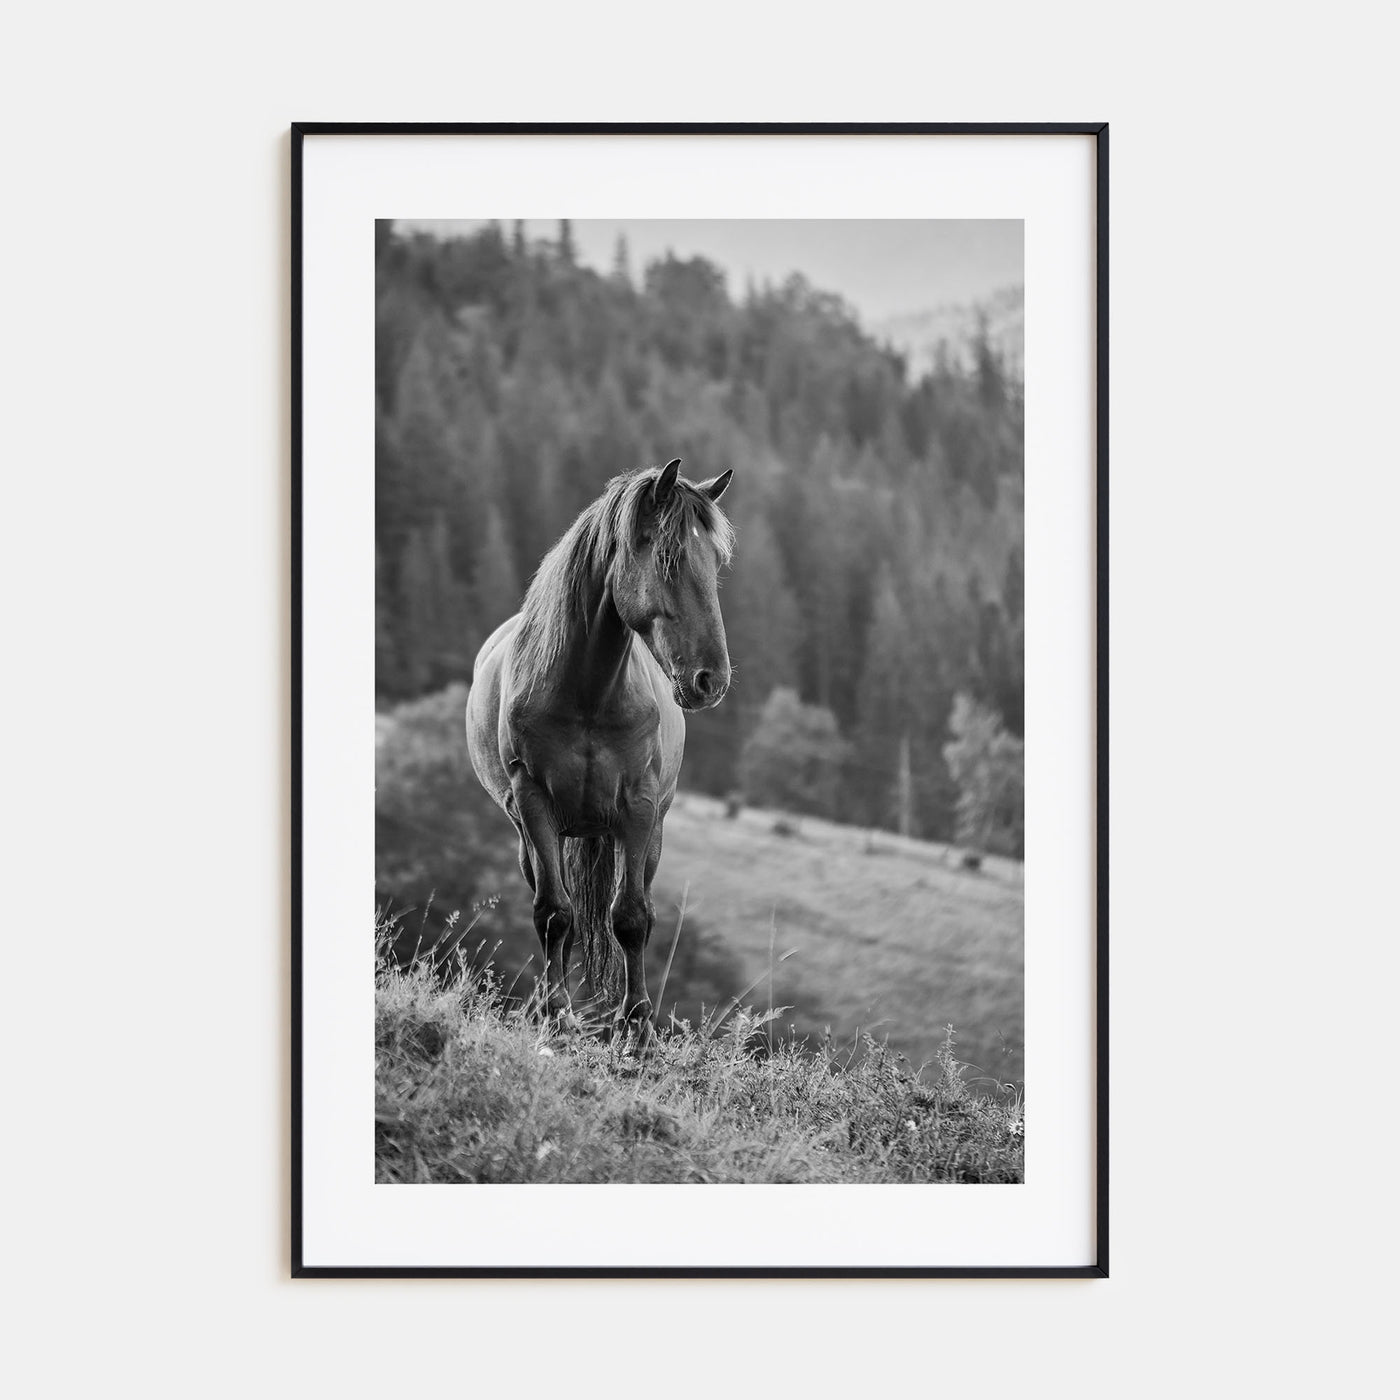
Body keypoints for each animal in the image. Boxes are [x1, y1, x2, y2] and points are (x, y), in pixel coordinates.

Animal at [464, 459, 735, 1051]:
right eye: (669, 559)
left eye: (716, 563)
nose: (711, 680)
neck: (586, 692)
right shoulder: (534, 802)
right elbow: (554, 914)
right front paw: (556, 1014)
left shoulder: (638, 808)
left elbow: (631, 917)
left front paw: (636, 1027)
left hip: (647, 834)